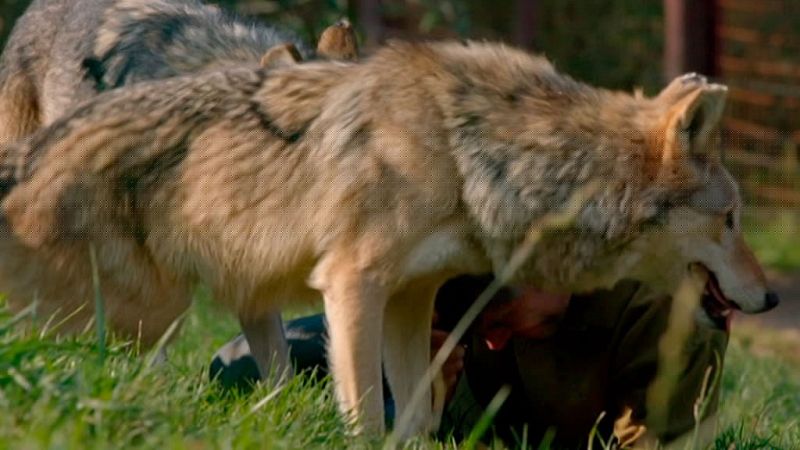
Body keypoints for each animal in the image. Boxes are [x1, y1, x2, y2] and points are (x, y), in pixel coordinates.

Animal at [0, 41, 778, 436]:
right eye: (730, 220)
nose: (771, 298)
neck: (474, 155)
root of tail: (33, 153)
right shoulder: (354, 286)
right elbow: (370, 418)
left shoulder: (413, 300)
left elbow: (417, 417)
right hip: (144, 315)